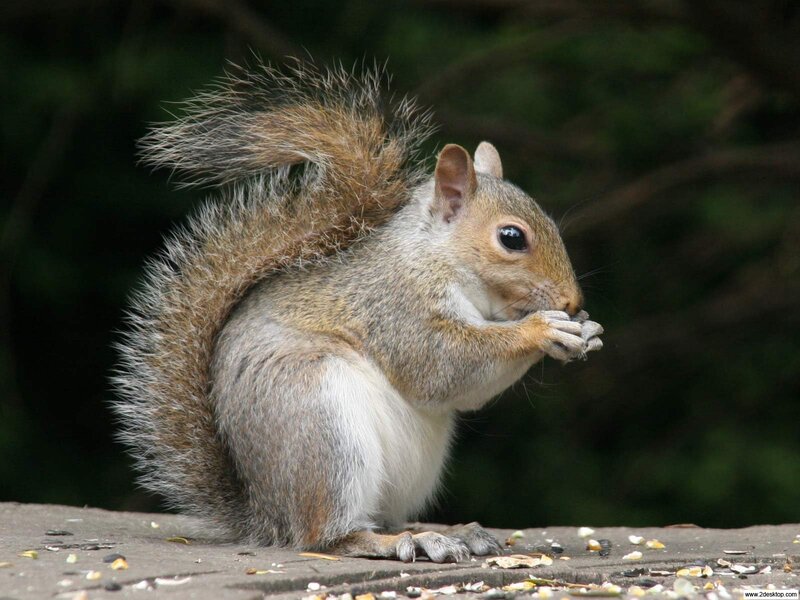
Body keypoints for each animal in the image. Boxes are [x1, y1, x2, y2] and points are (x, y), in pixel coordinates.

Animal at [112, 60, 603, 563]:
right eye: (511, 238)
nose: (572, 303)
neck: (435, 256)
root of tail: (267, 514)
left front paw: (585, 332)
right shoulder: (396, 306)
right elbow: (444, 366)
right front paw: (542, 330)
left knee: (382, 515)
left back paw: (449, 532)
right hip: (322, 426)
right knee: (328, 535)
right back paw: (396, 541)